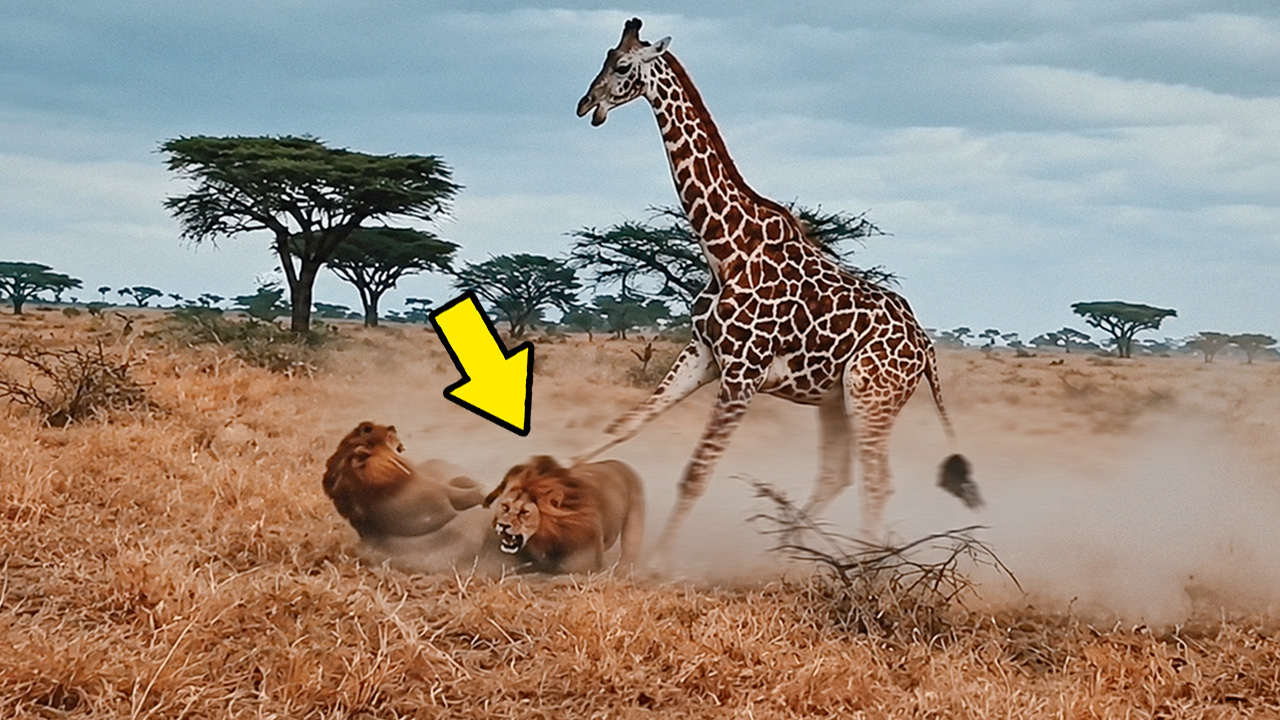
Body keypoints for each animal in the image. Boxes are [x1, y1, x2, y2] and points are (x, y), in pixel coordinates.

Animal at [483, 455, 645, 574]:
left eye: (524, 512)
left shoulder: (586, 565)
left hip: (633, 529)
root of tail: (618, 463)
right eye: (505, 506)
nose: (502, 525)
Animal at [573, 18, 982, 565]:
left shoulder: (742, 374)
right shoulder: (704, 353)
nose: (584, 104)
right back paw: (791, 556)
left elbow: (696, 473)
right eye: (604, 56)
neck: (724, 246)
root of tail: (925, 349)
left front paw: (656, 562)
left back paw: (862, 571)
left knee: (878, 482)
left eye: (621, 66)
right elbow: (623, 426)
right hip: (836, 401)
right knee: (839, 474)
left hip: (872, 397)